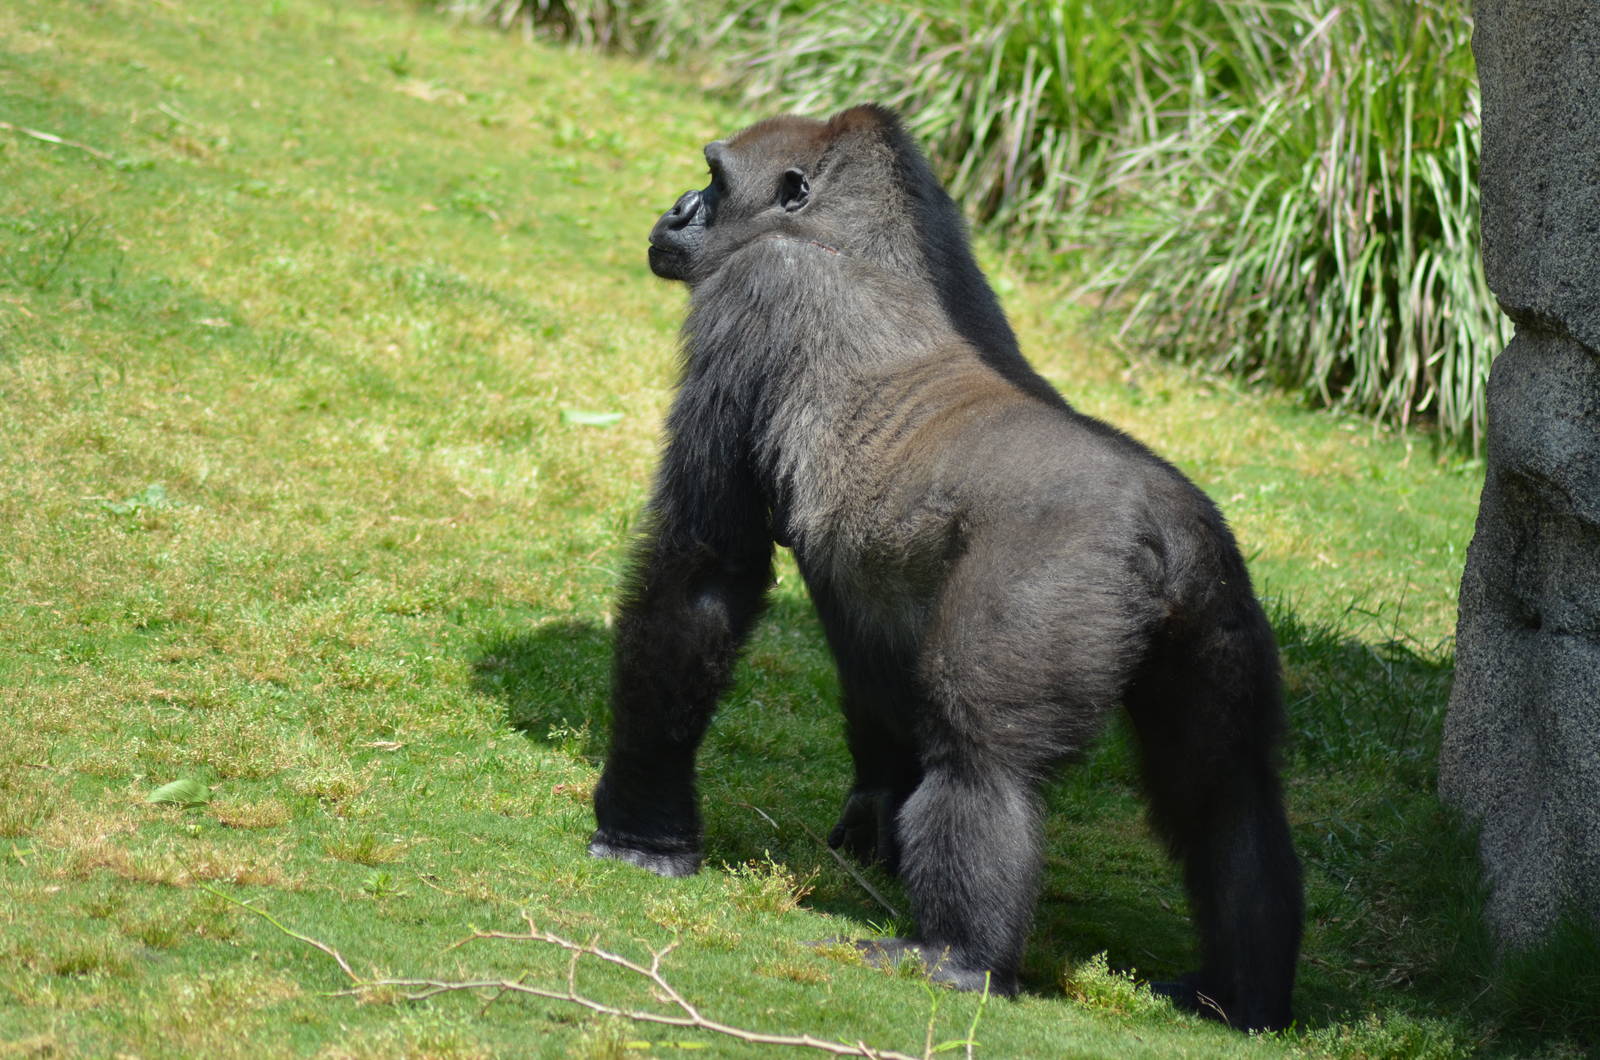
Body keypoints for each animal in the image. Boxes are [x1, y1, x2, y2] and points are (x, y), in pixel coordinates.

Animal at [588, 103, 1302, 1032]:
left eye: (714, 177)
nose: (676, 210)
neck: (856, 236)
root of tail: (1164, 531)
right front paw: (867, 823)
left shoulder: (758, 294)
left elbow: (703, 570)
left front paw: (643, 830)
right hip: (1221, 604)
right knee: (1227, 793)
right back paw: (1241, 991)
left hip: (1050, 577)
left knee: (980, 755)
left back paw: (958, 955)